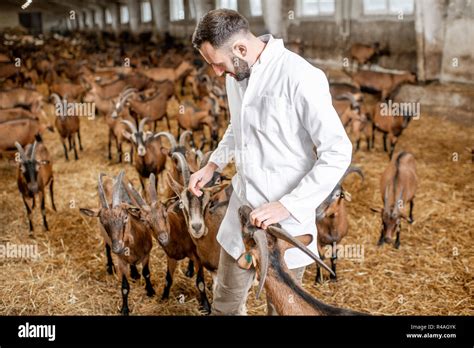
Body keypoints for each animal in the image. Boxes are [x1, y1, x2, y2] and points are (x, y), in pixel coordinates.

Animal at [79, 171, 156, 316]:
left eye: (125, 217)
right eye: (103, 221)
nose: (117, 248)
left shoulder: (146, 255)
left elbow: (147, 273)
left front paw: (150, 291)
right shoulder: (121, 261)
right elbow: (125, 287)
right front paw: (125, 309)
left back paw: (134, 273)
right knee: (106, 247)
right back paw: (110, 266)